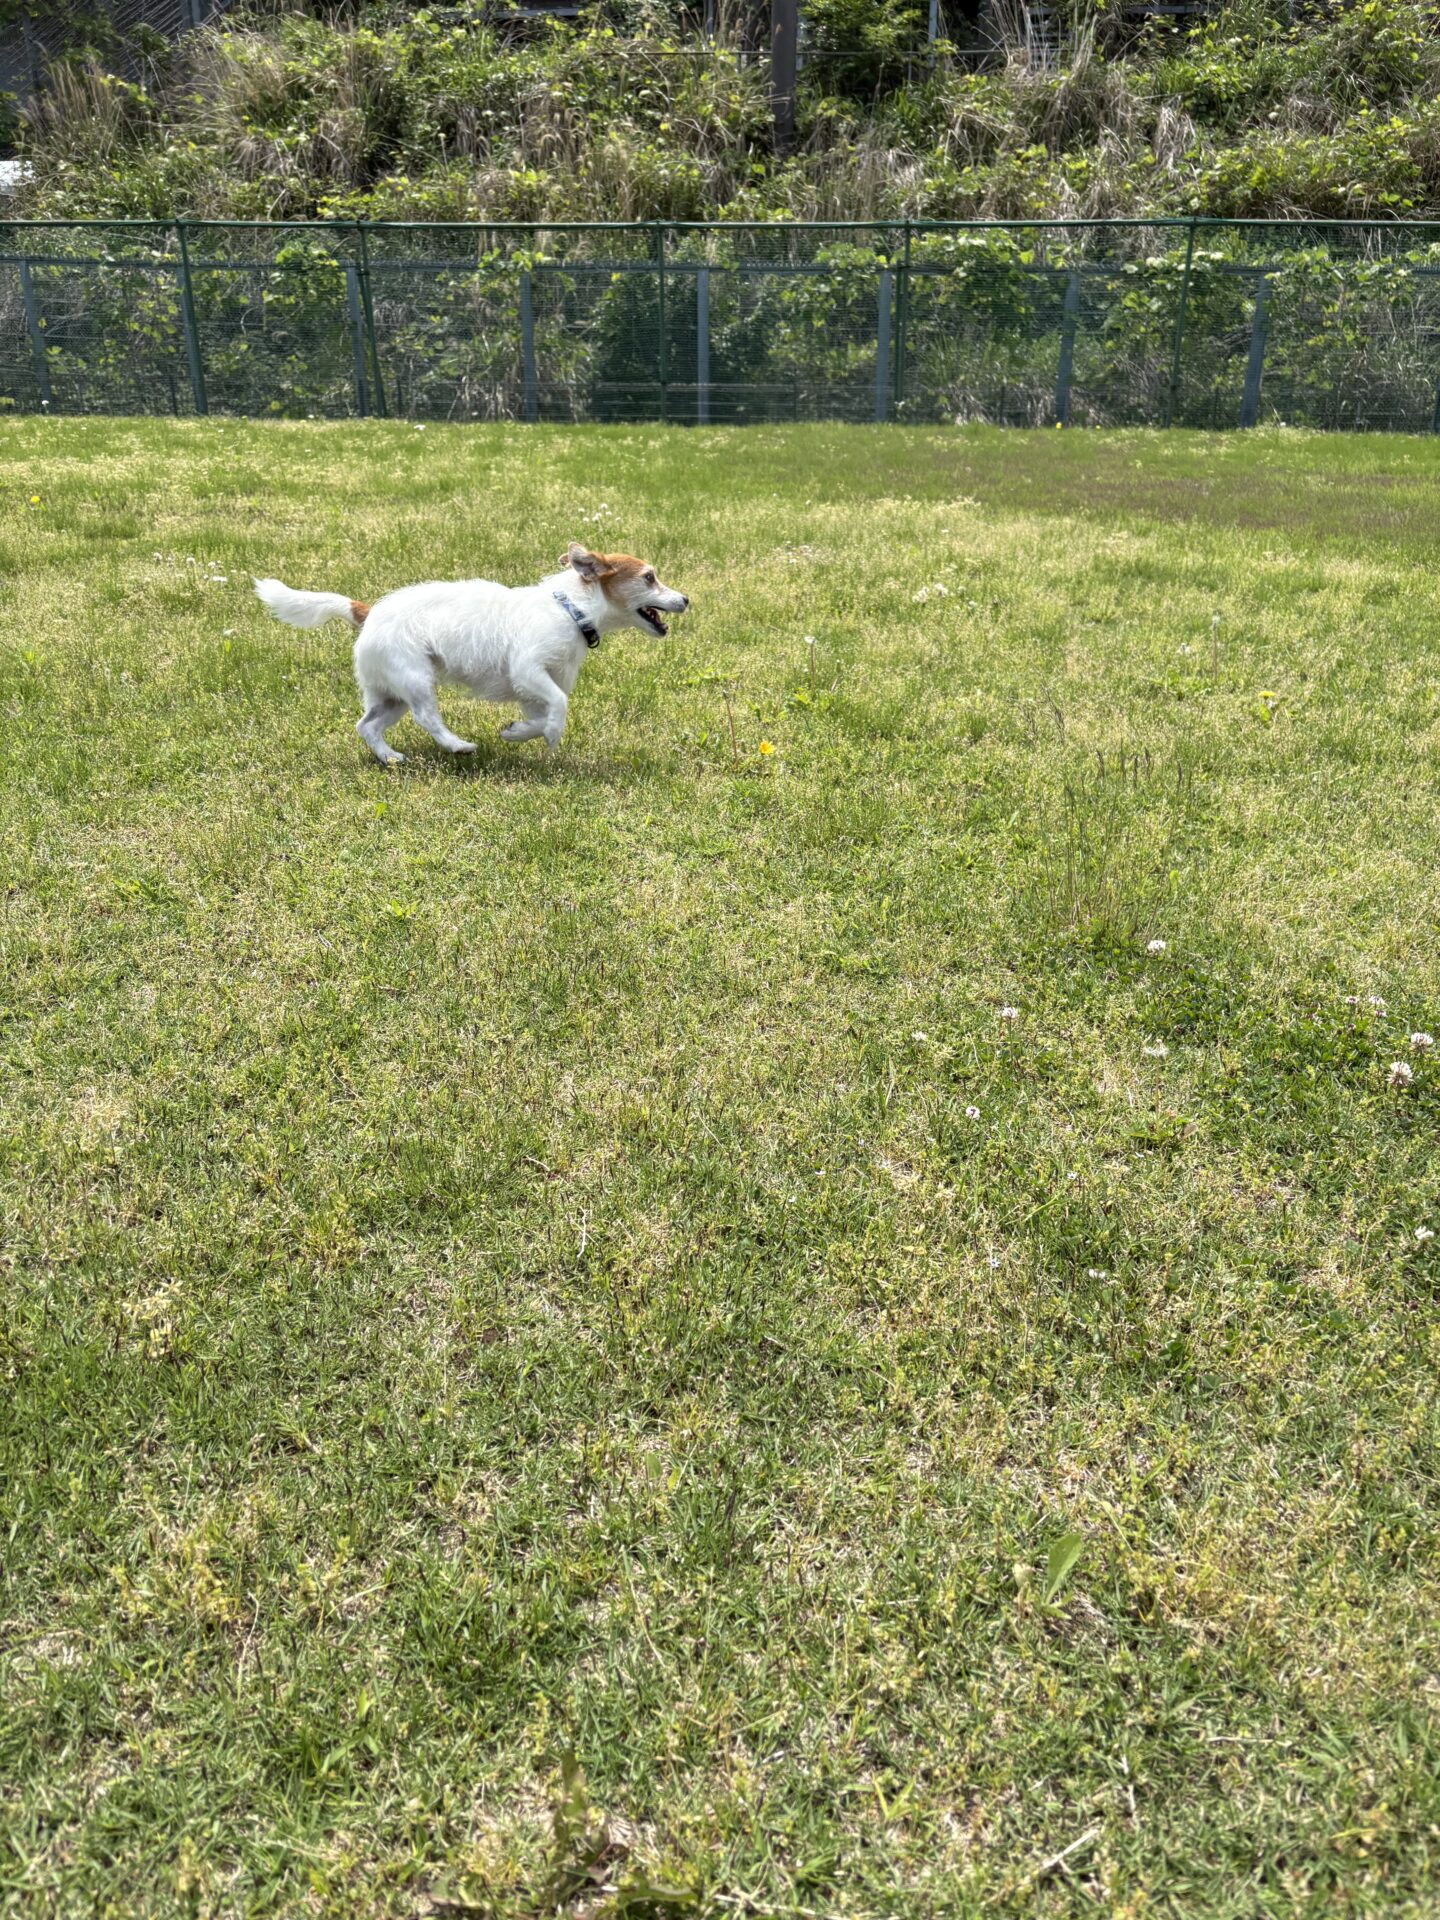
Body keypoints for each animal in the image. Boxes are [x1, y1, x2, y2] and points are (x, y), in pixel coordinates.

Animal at [253, 543, 689, 764]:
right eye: (649, 577)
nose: (686, 599)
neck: (571, 609)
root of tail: (369, 611)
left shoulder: (533, 692)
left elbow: (541, 714)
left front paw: (516, 733)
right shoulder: (529, 671)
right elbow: (560, 707)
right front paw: (550, 735)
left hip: (390, 695)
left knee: (367, 726)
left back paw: (390, 756)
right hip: (415, 678)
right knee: (427, 717)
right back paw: (456, 745)